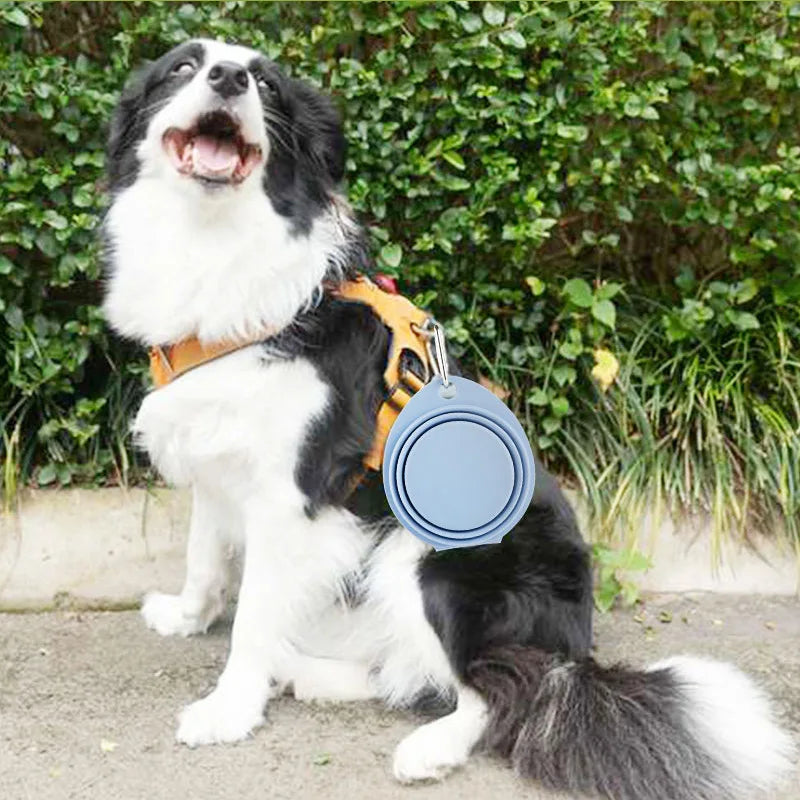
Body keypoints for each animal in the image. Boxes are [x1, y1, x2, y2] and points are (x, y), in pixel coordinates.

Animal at [101, 40, 792, 796]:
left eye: (267, 85)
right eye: (181, 67)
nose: (227, 79)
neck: (217, 247)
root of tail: (575, 655)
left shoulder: (292, 497)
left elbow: (253, 615)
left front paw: (228, 709)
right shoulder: (216, 460)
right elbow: (204, 557)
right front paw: (185, 616)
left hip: (433, 562)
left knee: (496, 690)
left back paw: (429, 746)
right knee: (407, 673)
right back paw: (309, 674)